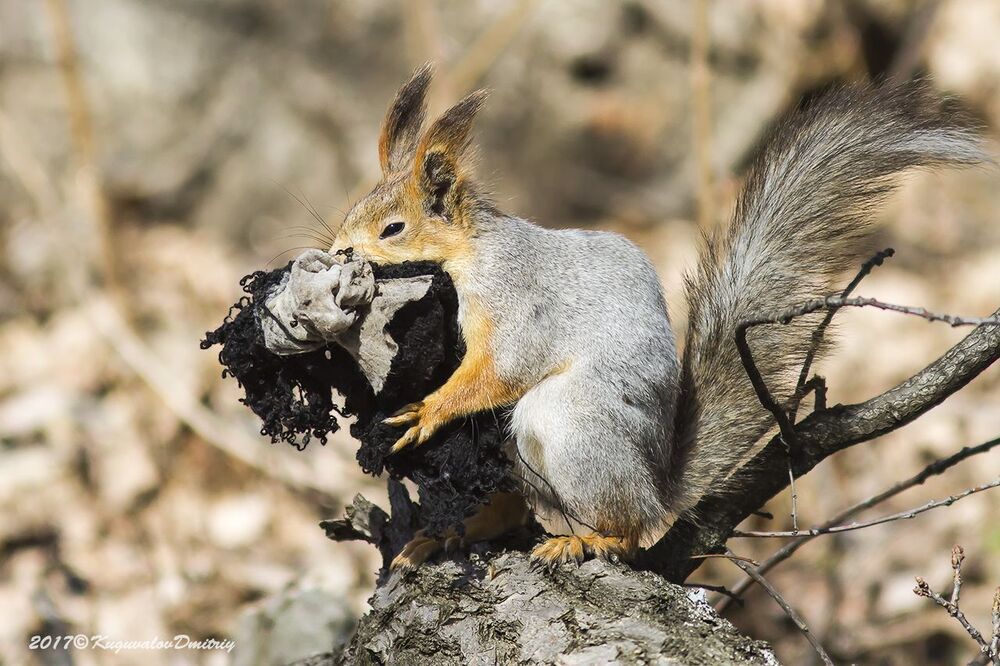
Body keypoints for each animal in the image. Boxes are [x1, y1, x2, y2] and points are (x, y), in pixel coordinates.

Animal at [329, 64, 985, 570]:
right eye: (353, 208)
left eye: (394, 229)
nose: (338, 252)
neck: (472, 253)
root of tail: (657, 485)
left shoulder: (517, 301)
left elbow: (504, 367)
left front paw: (427, 410)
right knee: (514, 506)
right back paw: (452, 533)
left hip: (575, 426)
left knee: (627, 527)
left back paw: (587, 540)